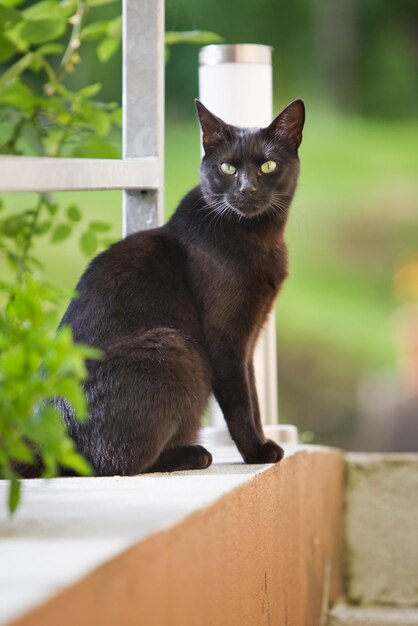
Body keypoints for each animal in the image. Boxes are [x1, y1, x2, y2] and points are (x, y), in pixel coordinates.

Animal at [54, 98, 304, 472]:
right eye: (227, 168)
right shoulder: (224, 337)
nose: (247, 189)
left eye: (268, 165)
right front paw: (257, 452)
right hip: (175, 345)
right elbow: (240, 402)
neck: (260, 238)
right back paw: (193, 454)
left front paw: (261, 445)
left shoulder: (249, 338)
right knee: (117, 462)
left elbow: (254, 396)